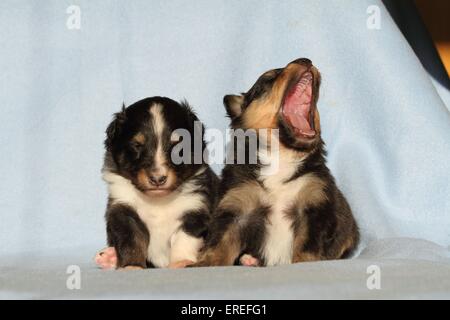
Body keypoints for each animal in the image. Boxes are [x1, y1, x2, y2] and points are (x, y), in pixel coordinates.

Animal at [94, 96, 218, 268]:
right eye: (137, 145)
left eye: (178, 146)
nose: (158, 179)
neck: (158, 201)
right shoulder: (124, 210)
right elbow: (132, 240)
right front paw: (132, 266)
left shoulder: (196, 209)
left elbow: (184, 238)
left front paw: (181, 262)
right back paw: (109, 257)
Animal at [192, 58, 358, 268]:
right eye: (269, 79)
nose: (306, 60)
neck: (281, 156)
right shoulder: (236, 206)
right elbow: (220, 242)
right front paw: (204, 264)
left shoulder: (314, 205)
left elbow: (307, 244)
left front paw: (304, 263)